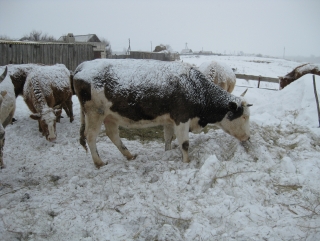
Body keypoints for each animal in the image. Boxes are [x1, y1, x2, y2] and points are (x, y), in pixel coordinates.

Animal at [73, 58, 252, 168]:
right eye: (244, 116)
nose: (248, 137)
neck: (195, 86)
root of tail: (83, 65)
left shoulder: (170, 120)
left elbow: (168, 139)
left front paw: (168, 153)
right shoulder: (182, 118)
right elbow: (185, 143)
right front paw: (186, 162)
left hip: (110, 115)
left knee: (113, 135)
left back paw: (129, 155)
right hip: (95, 113)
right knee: (91, 136)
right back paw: (99, 162)